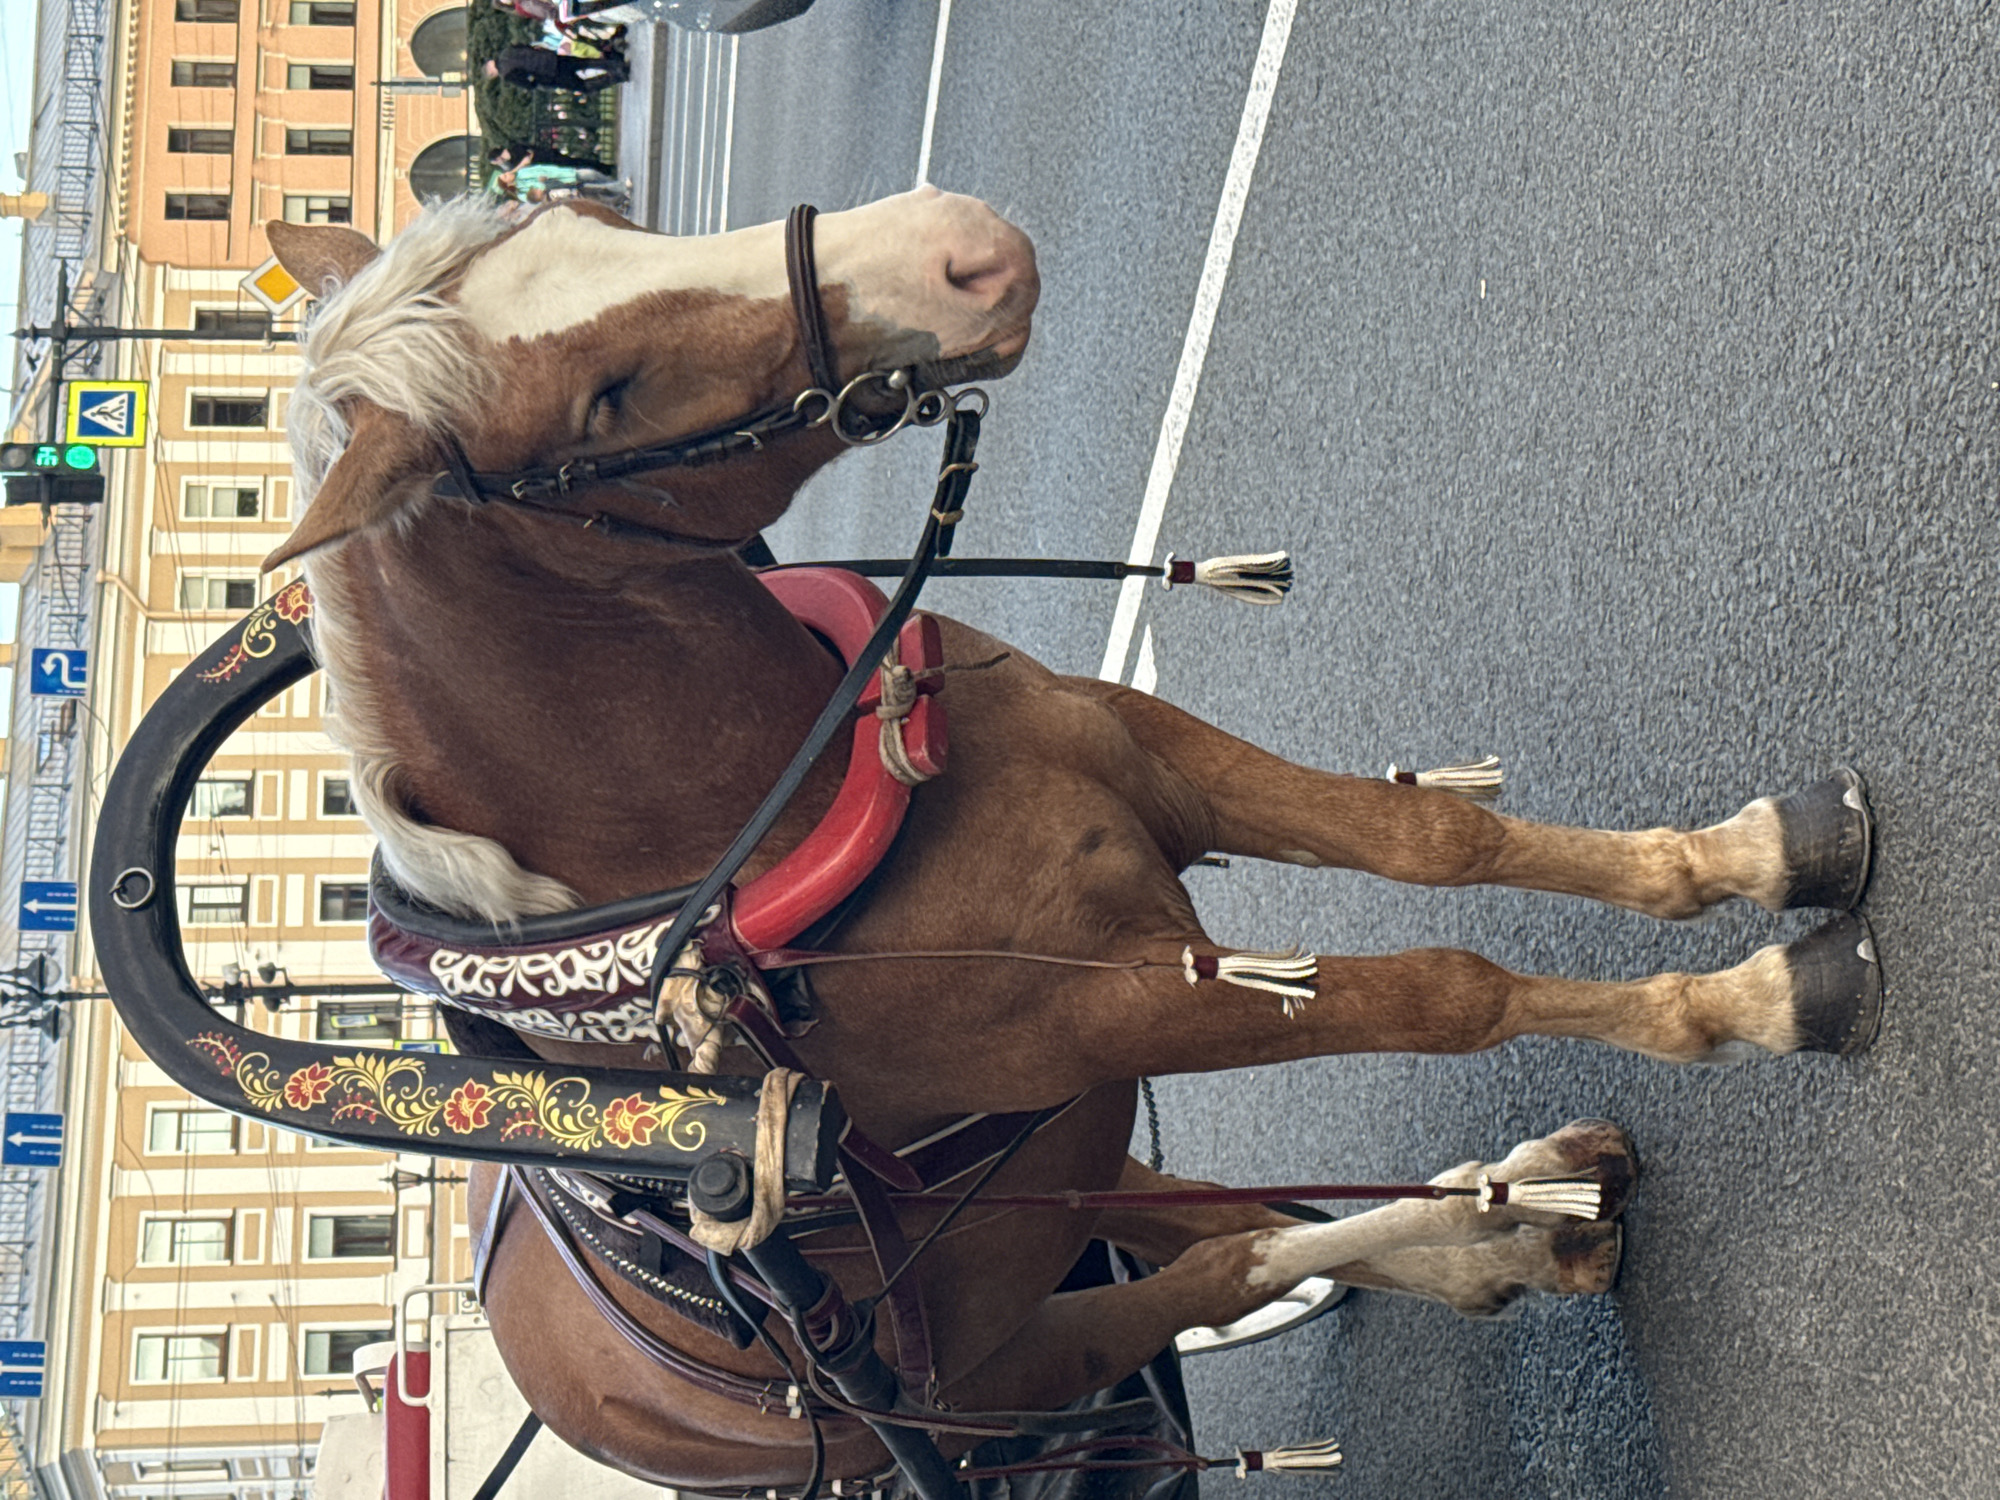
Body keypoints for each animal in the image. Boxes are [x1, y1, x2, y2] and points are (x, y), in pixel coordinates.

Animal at [259, 189, 1878, 1490]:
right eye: (605, 395)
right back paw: (1493, 1222)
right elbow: (1444, 990)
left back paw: (1504, 1223)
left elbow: (1432, 843)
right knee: (1219, 1263)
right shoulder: (1117, 1002)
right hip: (1008, 1357)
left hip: (1071, 1177)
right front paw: (1743, 1002)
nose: (959, 247)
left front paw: (1736, 863)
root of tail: (564, 1374)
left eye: (593, 208)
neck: (783, 805)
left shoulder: (1153, 765)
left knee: (1213, 1221)